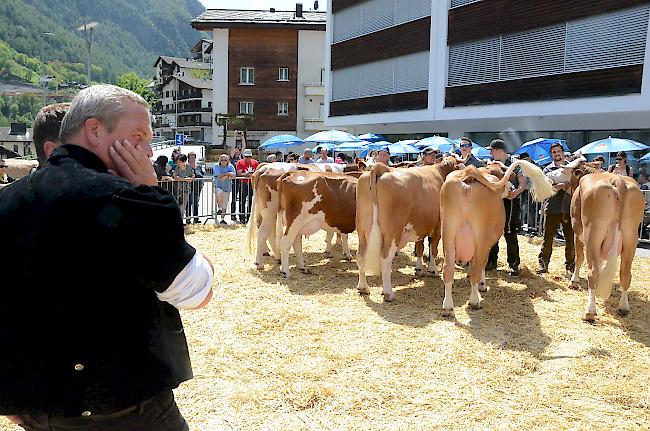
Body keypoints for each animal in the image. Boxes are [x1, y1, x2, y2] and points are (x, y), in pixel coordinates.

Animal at [352, 157, 464, 302]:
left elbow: (420, 246)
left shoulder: (420, 226)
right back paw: (388, 293)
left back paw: (363, 288)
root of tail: (381, 168)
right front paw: (432, 270)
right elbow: (433, 248)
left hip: (362, 230)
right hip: (393, 231)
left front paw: (419, 269)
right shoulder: (438, 226)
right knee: (385, 258)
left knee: (360, 256)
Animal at [436, 160, 552, 316]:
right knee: (476, 268)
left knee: (448, 269)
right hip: (480, 238)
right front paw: (482, 285)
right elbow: (483, 265)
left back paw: (448, 307)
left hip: (448, 233)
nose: (511, 188)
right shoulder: (487, 243)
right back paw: (474, 301)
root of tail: (468, 175)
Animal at [552, 161, 644, 320]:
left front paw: (574, 281)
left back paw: (590, 312)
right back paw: (623, 307)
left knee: (593, 271)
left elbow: (579, 258)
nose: (550, 174)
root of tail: (618, 181)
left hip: (593, 233)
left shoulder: (577, 231)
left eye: (564, 171)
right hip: (631, 237)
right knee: (625, 273)